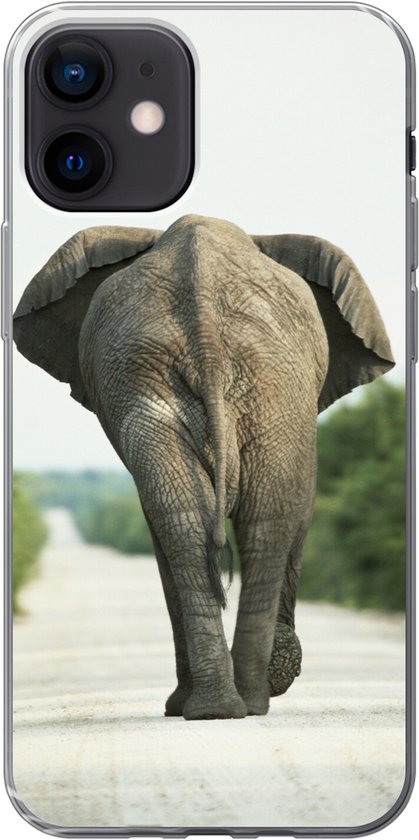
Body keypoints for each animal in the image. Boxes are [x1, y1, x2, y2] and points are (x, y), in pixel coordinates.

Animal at [13, 214, 394, 720]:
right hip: (234, 381)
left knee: (204, 522)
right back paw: (236, 703)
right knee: (250, 521)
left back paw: (221, 705)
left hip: (225, 381)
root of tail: (206, 332)